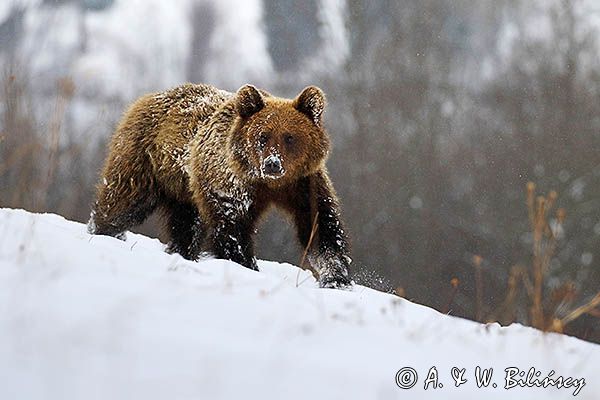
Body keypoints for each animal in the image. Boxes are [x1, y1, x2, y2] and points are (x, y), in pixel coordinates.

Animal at [89, 83, 352, 288]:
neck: (269, 185)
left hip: (185, 190)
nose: (272, 164)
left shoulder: (304, 184)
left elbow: (320, 228)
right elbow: (232, 228)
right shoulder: (230, 184)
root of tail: (149, 97)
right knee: (123, 202)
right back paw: (103, 231)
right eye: (263, 135)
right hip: (144, 159)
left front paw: (336, 278)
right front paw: (246, 265)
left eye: (290, 137)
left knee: (187, 225)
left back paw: (181, 252)